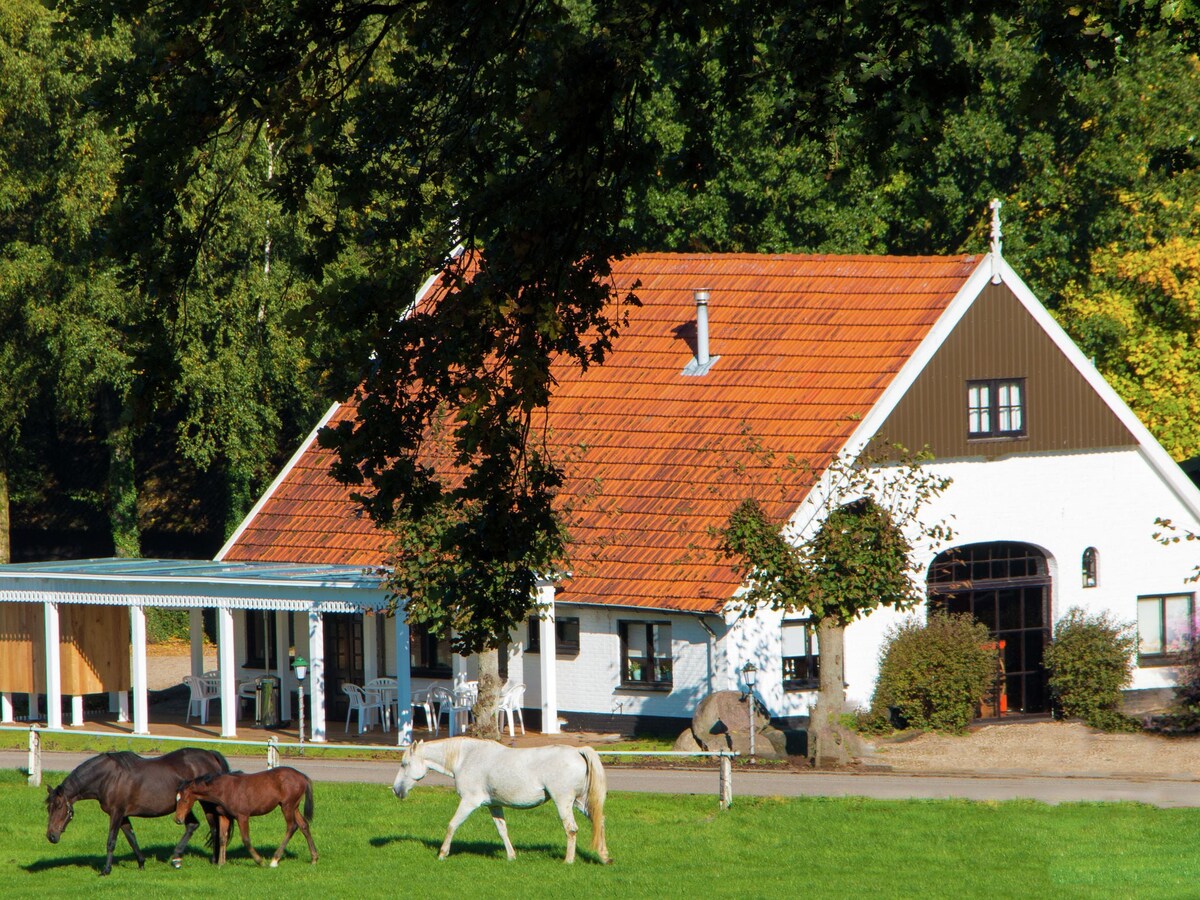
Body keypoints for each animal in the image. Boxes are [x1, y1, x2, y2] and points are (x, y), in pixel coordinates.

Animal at [45, 748, 229, 878]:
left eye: (59, 806)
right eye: (48, 808)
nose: (51, 836)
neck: (108, 777)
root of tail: (210, 755)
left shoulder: (116, 813)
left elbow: (111, 841)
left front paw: (106, 870)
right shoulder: (123, 815)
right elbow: (131, 838)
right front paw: (141, 863)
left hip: (206, 803)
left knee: (214, 828)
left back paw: (213, 861)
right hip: (184, 805)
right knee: (193, 825)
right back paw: (177, 858)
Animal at [174, 768, 316, 868]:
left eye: (185, 800)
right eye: (176, 799)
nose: (178, 819)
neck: (223, 789)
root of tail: (302, 776)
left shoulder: (242, 816)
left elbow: (246, 839)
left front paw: (260, 861)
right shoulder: (224, 816)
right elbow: (222, 838)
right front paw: (221, 863)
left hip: (287, 806)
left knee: (291, 826)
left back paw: (274, 860)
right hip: (294, 807)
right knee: (304, 825)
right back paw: (314, 858)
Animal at [396, 739, 609, 868]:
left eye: (404, 764)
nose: (396, 790)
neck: (466, 757)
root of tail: (578, 751)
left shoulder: (469, 802)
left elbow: (452, 825)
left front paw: (442, 853)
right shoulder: (494, 805)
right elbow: (502, 830)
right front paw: (511, 856)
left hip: (563, 801)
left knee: (571, 829)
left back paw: (568, 860)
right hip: (581, 803)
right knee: (600, 822)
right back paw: (605, 857)